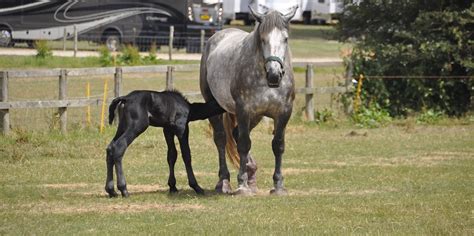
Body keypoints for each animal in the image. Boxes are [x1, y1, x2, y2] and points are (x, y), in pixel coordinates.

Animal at [199, 5, 296, 195]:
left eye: (285, 39)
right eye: (263, 39)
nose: (274, 75)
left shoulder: (283, 113)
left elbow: (278, 145)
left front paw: (278, 185)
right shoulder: (243, 110)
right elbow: (244, 144)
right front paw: (242, 185)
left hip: (256, 116)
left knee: (236, 133)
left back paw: (251, 175)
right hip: (214, 106)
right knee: (221, 139)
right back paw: (224, 182)